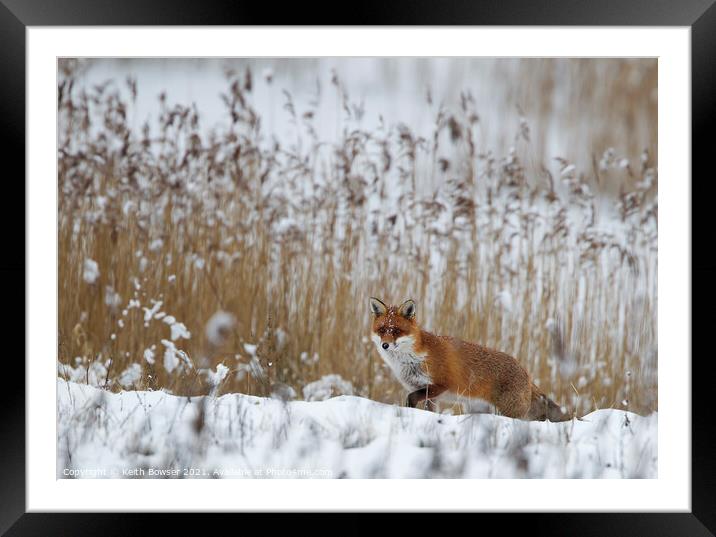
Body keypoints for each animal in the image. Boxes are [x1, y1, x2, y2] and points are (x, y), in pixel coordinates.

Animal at [370, 296, 572, 420]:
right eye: (382, 330)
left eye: (396, 331)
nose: (385, 345)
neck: (411, 359)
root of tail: (527, 374)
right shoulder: (429, 394)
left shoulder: (441, 385)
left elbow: (411, 397)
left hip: (508, 412)